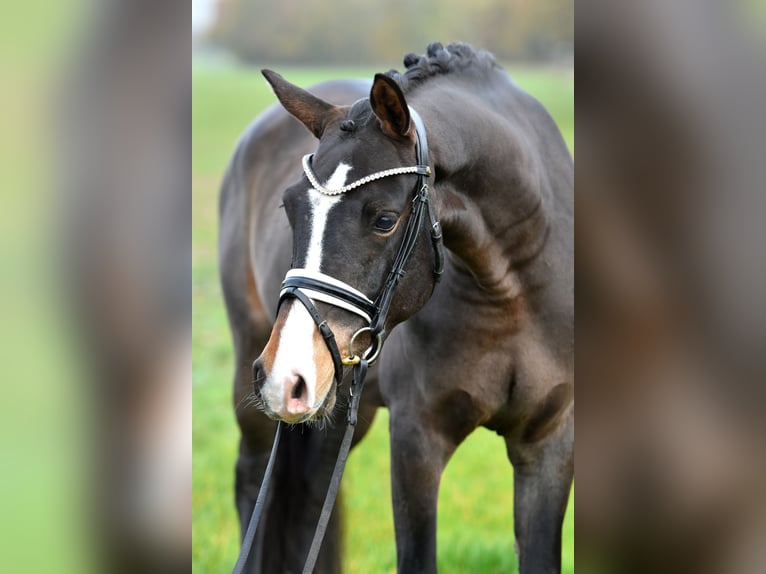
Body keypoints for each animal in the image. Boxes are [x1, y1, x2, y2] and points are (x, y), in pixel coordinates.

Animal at [219, 41, 572, 574]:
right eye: (289, 208)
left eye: (385, 219)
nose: (286, 375)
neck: (508, 292)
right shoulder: (415, 442)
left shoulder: (549, 442)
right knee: (253, 482)